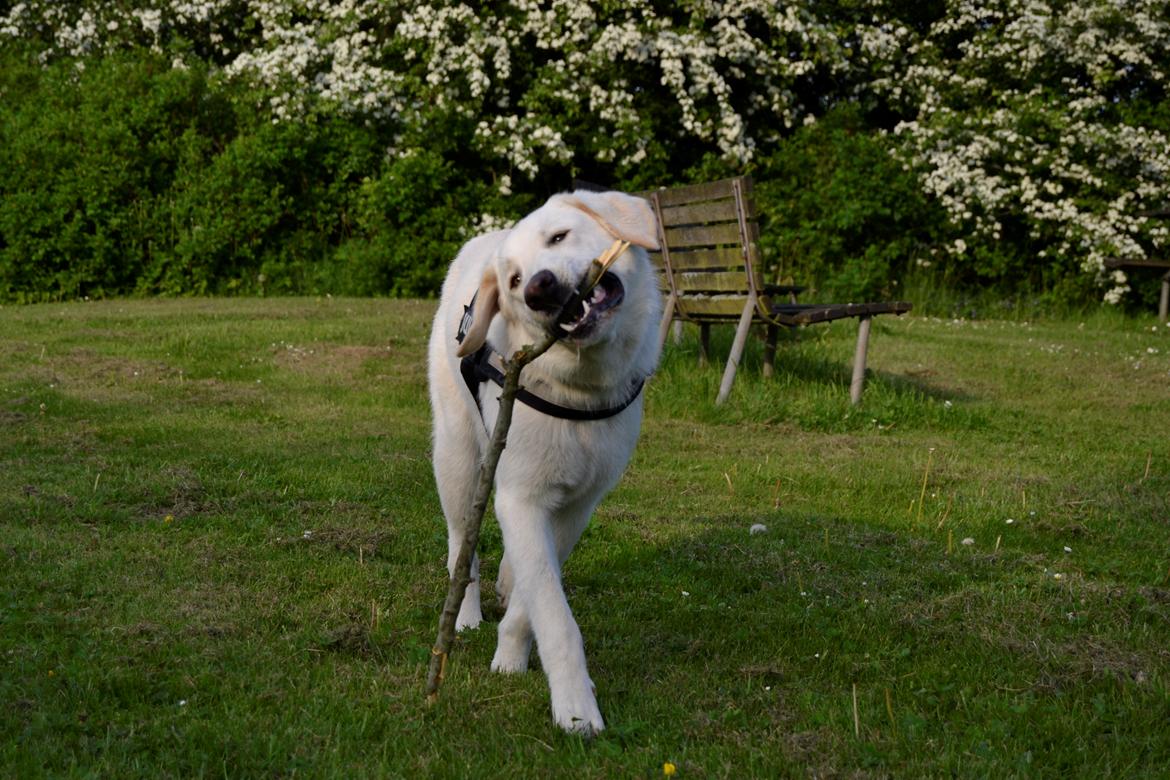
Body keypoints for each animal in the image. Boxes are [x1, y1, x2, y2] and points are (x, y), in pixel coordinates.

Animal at [430, 187, 669, 734]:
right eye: (515, 282)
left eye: (559, 237)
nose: (539, 288)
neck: (582, 391)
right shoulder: (519, 499)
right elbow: (555, 618)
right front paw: (576, 710)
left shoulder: (577, 505)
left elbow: (533, 595)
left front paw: (510, 656)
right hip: (457, 458)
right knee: (461, 545)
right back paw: (467, 612)